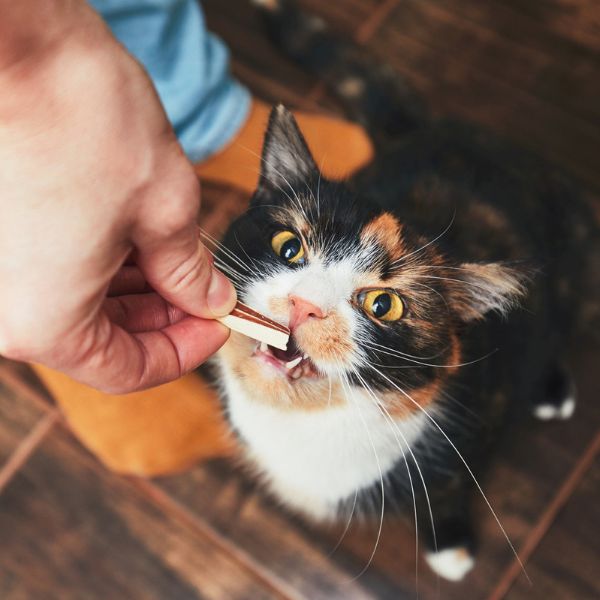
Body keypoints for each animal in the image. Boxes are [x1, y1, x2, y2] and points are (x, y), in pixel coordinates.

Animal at [211, 0, 596, 580]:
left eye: (383, 304)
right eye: (289, 247)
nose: (304, 305)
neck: (306, 424)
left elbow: (450, 486)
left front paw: (451, 546)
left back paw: (551, 389)